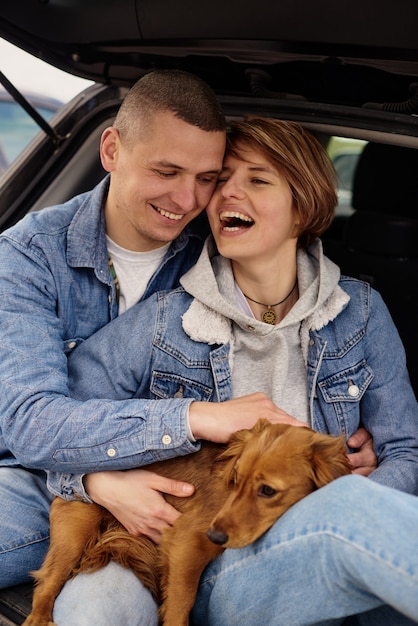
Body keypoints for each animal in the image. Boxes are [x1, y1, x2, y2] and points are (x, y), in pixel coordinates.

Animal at [22, 420, 350, 624]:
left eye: (268, 491)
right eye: (235, 479)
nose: (215, 537)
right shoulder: (187, 542)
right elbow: (182, 604)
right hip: (75, 533)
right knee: (46, 584)